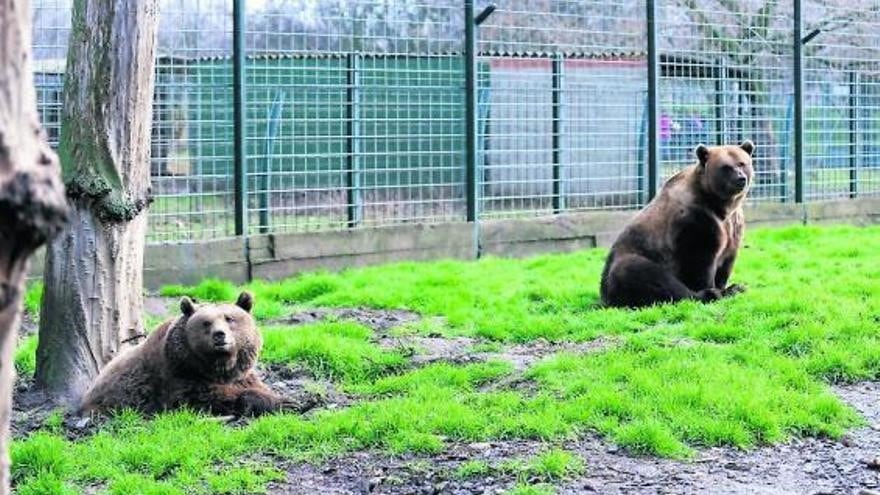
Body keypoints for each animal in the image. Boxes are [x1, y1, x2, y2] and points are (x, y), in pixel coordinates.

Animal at [79, 292, 280, 416]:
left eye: (229, 319)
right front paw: (280, 402)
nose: (219, 335)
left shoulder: (240, 374)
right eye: (206, 323)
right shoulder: (179, 376)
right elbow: (209, 396)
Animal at [600, 140, 756, 308]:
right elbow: (699, 261)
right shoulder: (696, 220)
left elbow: (726, 261)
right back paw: (714, 293)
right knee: (642, 273)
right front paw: (714, 289)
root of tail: (605, 298)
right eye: (726, 167)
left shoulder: (733, 225)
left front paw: (725, 286)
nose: (740, 178)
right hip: (631, 259)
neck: (720, 206)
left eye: (742, 163)